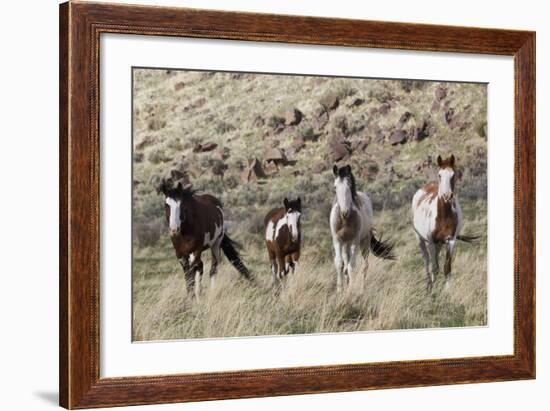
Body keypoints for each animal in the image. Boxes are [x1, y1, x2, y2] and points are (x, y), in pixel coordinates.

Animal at [332, 164, 396, 292]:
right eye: (335, 187)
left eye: (349, 185)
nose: (344, 212)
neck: (345, 220)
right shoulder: (337, 240)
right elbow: (339, 263)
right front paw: (340, 289)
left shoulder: (355, 241)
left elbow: (352, 266)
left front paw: (350, 290)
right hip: (346, 244)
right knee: (346, 263)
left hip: (364, 242)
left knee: (365, 266)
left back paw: (362, 288)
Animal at [414, 154, 478, 292]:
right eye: (439, 175)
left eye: (453, 175)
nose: (446, 196)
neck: (443, 216)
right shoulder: (431, 242)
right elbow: (433, 267)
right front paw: (433, 291)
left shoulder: (450, 241)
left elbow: (446, 267)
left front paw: (447, 291)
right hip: (420, 239)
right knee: (426, 261)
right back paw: (428, 285)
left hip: (439, 244)